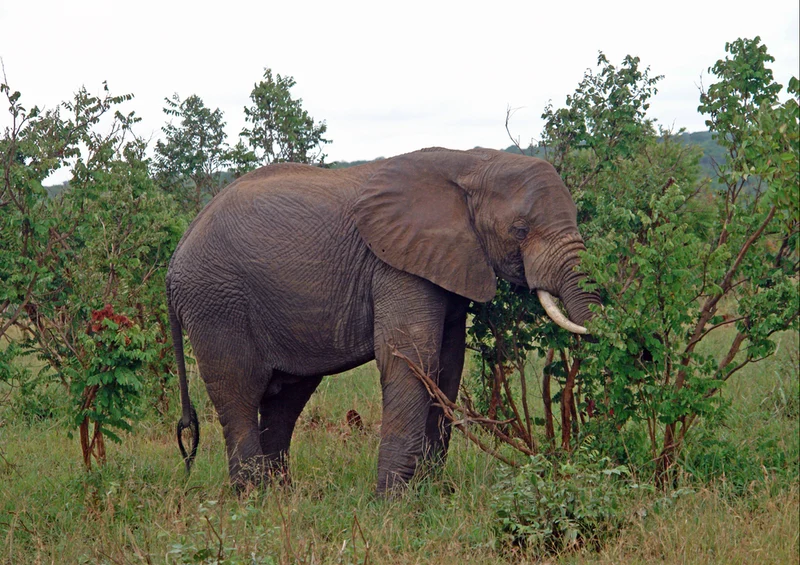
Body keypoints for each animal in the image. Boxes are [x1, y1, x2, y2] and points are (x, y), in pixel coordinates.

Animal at [167, 147, 600, 494]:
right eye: (520, 230)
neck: (472, 163)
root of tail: (174, 260)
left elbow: (447, 366)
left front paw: (431, 494)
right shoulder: (396, 264)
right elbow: (409, 357)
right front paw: (392, 503)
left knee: (285, 397)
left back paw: (282, 496)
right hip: (216, 302)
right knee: (239, 391)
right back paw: (253, 499)